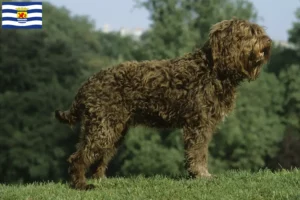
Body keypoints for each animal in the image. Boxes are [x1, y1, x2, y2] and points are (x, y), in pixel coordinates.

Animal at [54, 18, 272, 190]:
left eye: (258, 31)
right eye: (250, 32)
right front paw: (202, 175)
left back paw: (101, 180)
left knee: (99, 157)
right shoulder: (198, 125)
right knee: (78, 158)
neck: (213, 69)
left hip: (112, 129)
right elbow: (198, 153)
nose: (269, 42)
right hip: (103, 128)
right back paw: (81, 185)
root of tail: (87, 84)